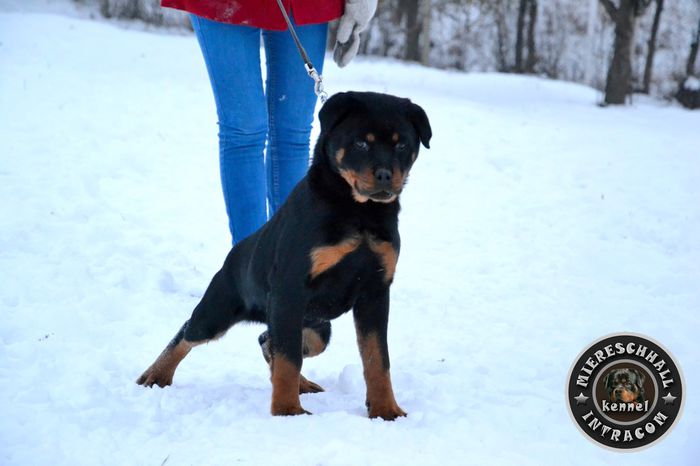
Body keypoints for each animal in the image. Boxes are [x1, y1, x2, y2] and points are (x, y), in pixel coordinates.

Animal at [137, 91, 432, 418]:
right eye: (361, 143)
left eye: (402, 145)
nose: (384, 175)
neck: (359, 212)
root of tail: (233, 253)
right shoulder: (291, 288)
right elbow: (289, 359)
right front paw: (288, 411)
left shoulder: (375, 291)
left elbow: (377, 359)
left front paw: (385, 410)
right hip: (221, 310)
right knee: (190, 332)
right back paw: (156, 375)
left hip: (316, 327)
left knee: (269, 340)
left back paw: (302, 383)